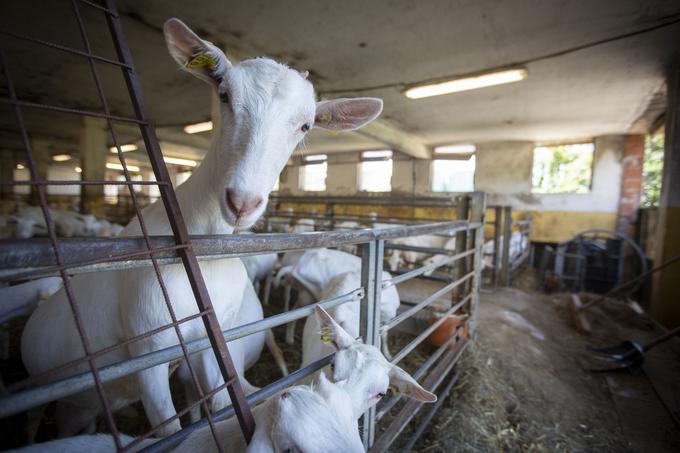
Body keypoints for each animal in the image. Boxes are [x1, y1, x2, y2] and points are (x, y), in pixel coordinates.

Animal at [19, 16, 382, 434]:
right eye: (223, 95)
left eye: (306, 125)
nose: (242, 202)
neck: (203, 253)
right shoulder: (148, 350)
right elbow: (167, 427)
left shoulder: (212, 344)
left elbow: (222, 401)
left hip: (81, 405)